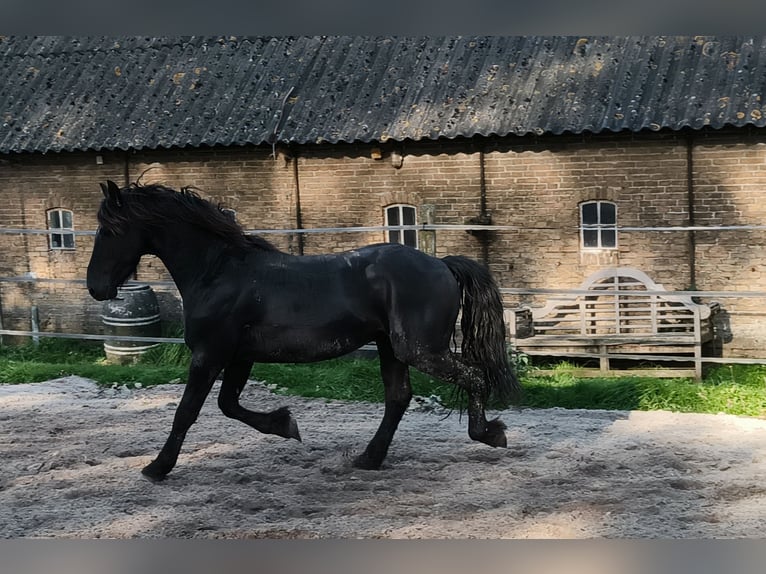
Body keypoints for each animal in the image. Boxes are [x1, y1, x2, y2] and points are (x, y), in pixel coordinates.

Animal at [85, 180, 520, 482]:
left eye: (108, 231)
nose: (95, 287)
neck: (218, 272)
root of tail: (443, 264)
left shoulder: (210, 354)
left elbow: (186, 412)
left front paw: (156, 468)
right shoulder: (239, 356)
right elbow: (228, 405)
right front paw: (285, 425)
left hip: (419, 349)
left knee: (472, 376)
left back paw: (490, 433)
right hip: (391, 346)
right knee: (398, 397)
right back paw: (369, 458)